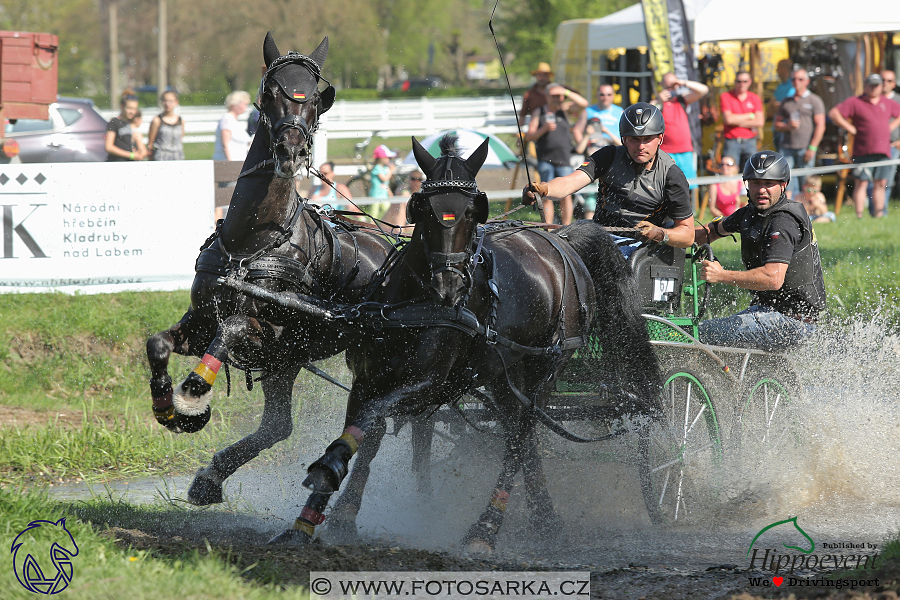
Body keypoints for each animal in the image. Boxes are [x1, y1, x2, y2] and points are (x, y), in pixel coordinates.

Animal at [146, 31, 392, 502]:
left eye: (315, 97)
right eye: (270, 91)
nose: (291, 150)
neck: (251, 245)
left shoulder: (272, 334)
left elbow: (233, 328)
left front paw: (193, 393)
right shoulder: (203, 322)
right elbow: (158, 344)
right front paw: (172, 409)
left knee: (373, 425)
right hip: (288, 364)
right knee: (278, 427)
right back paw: (211, 477)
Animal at [270, 135, 664, 548]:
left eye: (475, 212)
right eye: (422, 208)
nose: (450, 286)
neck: (413, 307)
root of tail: (561, 238)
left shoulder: (428, 383)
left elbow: (374, 417)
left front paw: (329, 473)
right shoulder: (366, 378)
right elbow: (368, 430)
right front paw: (316, 518)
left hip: (546, 366)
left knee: (520, 435)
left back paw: (487, 526)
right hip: (503, 376)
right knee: (520, 432)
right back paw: (543, 516)